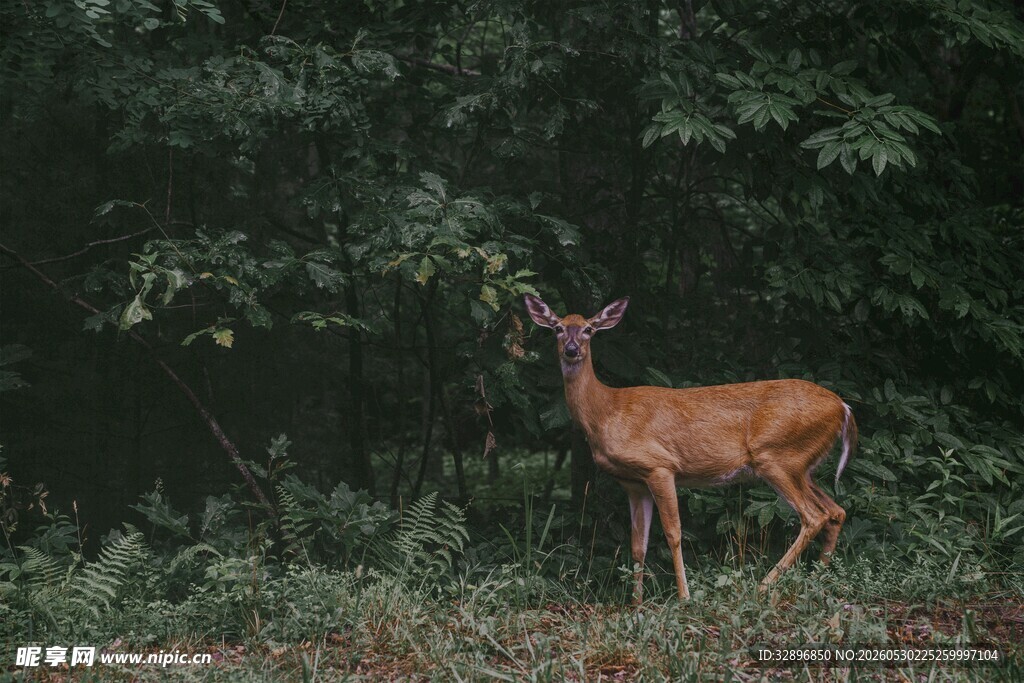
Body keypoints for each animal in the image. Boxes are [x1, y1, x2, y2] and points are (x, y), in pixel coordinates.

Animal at [523, 294, 857, 602]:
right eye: (557, 328)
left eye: (589, 329)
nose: (571, 349)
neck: (606, 411)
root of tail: (842, 408)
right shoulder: (633, 483)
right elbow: (638, 544)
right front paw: (636, 604)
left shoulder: (660, 465)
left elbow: (673, 534)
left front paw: (684, 597)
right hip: (801, 466)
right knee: (835, 511)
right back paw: (816, 581)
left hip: (777, 457)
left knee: (813, 516)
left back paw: (763, 586)